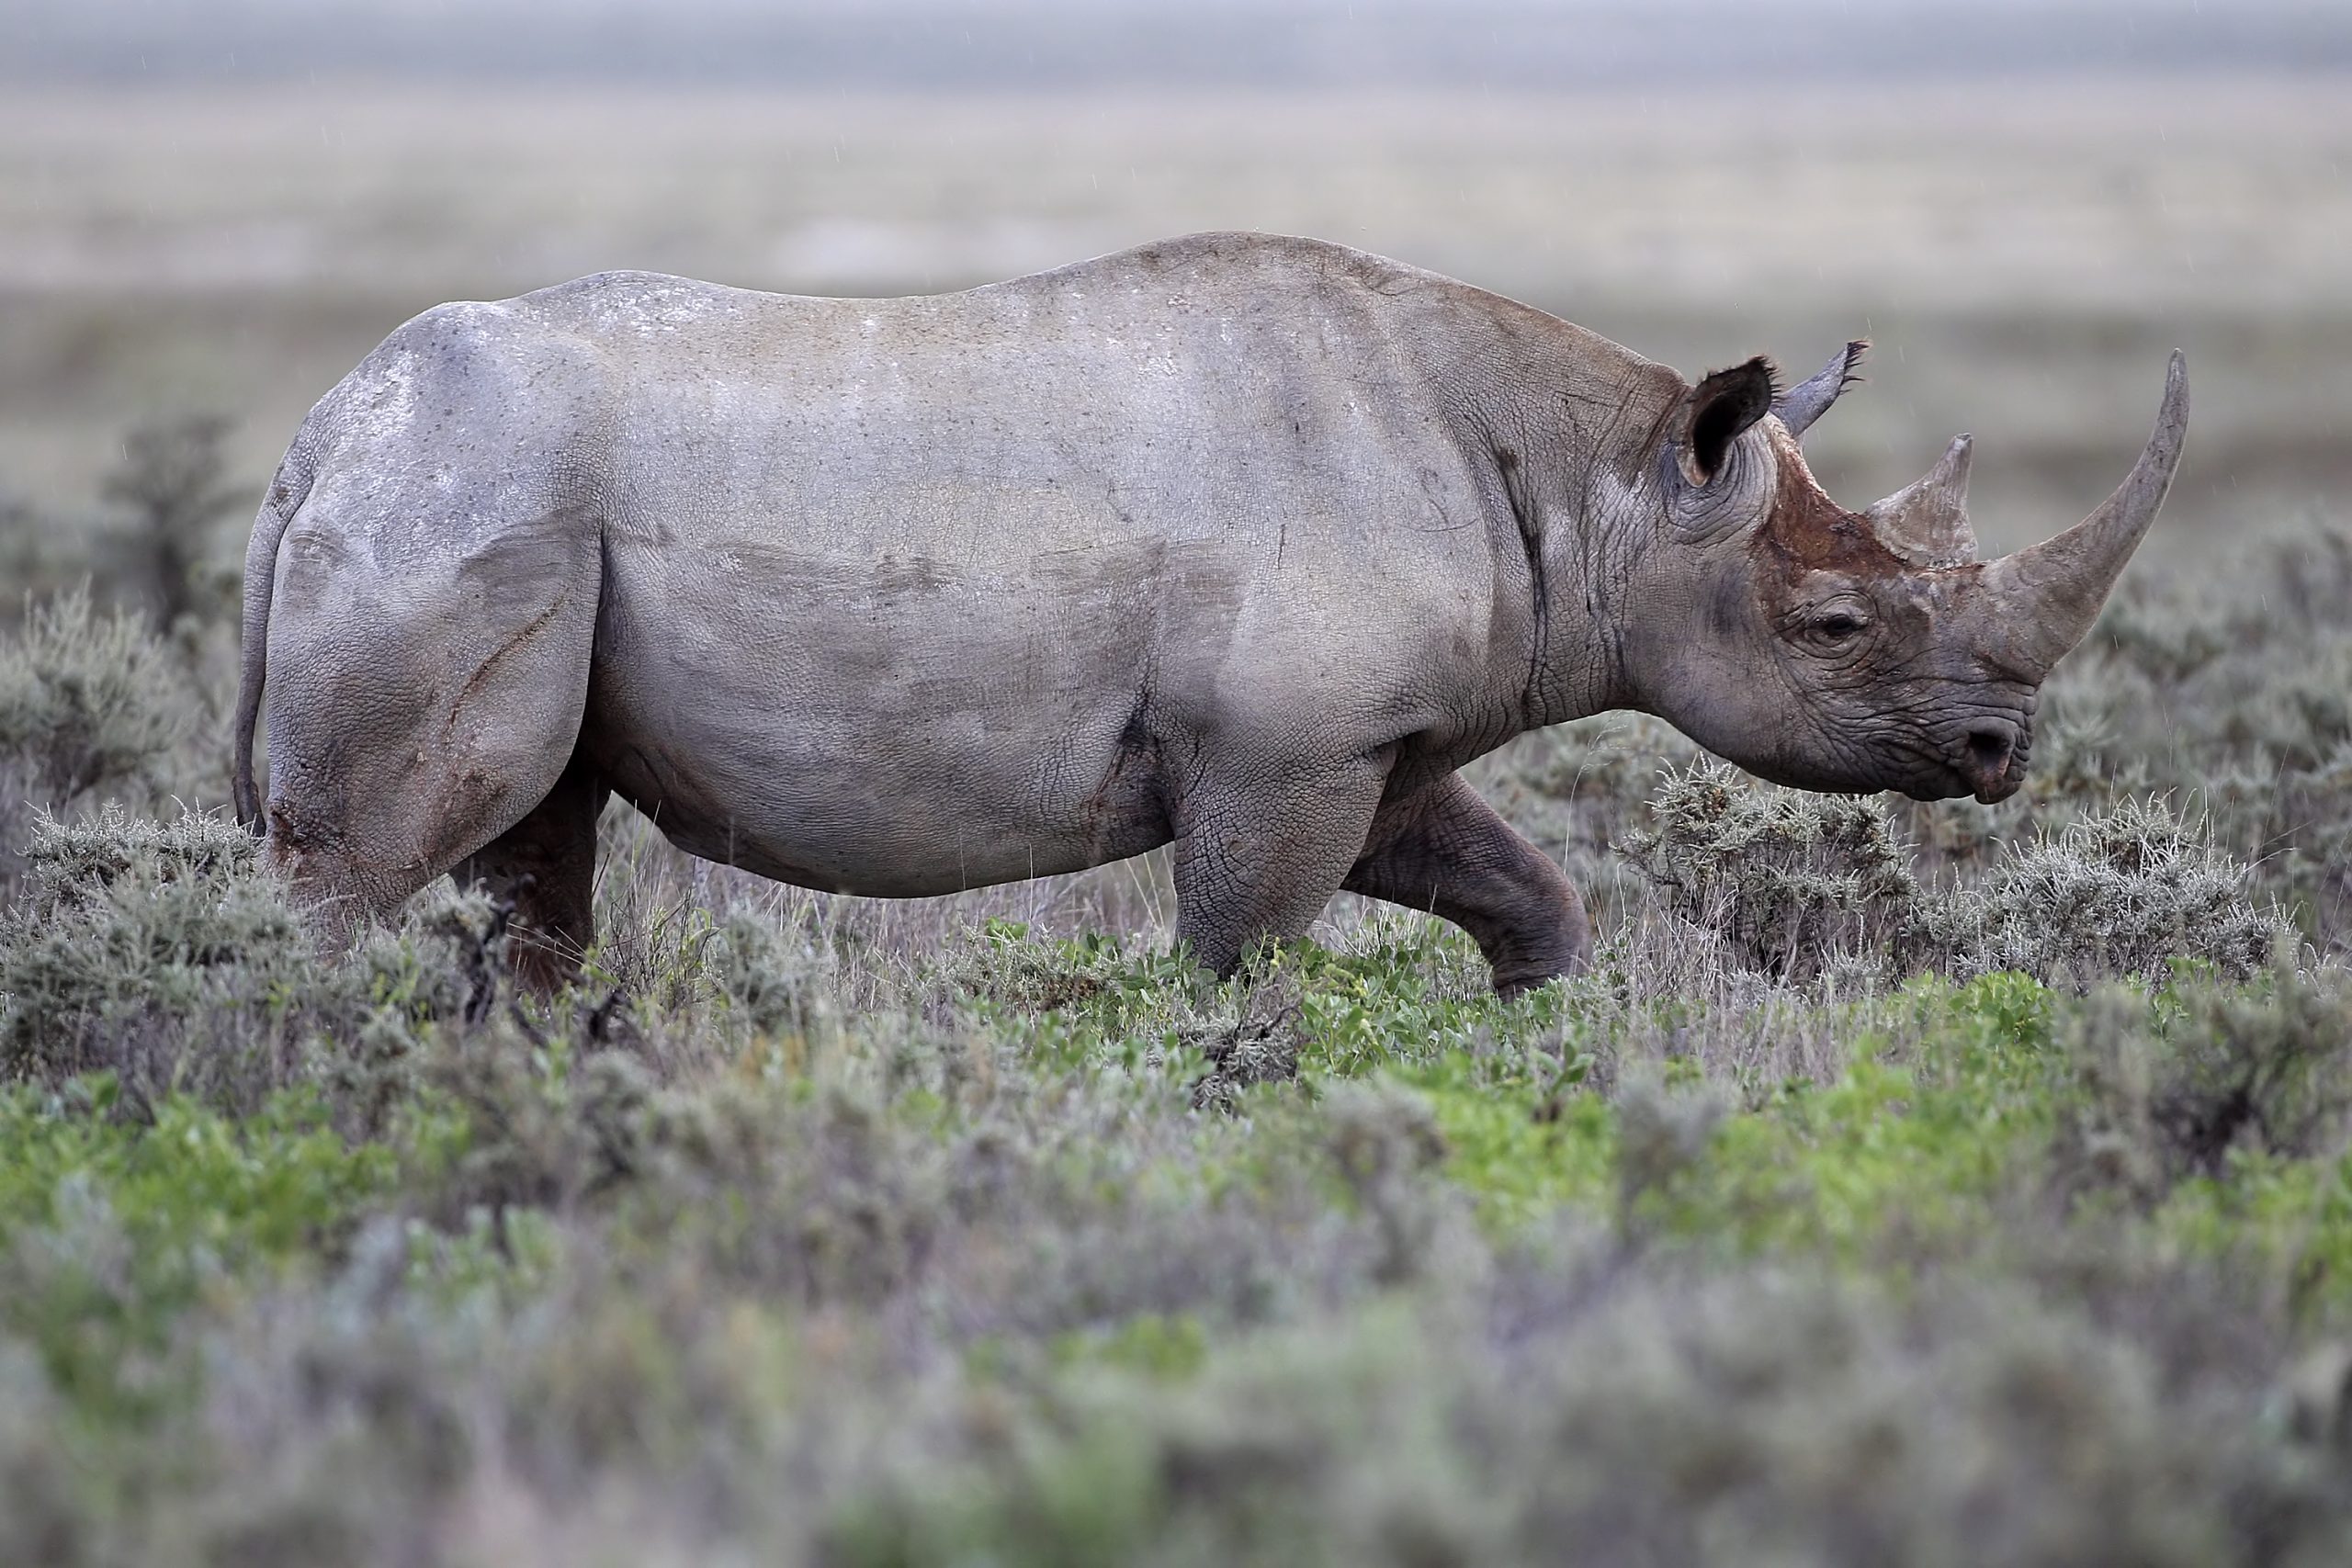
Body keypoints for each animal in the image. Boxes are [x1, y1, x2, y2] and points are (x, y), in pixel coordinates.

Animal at [230, 231, 2188, 994]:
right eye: (1837, 634)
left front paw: (1539, 1048)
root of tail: (316, 433)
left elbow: (1526, 893)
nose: (2002, 750)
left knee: (533, 860)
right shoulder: (1283, 749)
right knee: (383, 855)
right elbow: (1241, 964)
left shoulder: (1363, 740)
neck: (1607, 482)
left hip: (483, 497)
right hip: (461, 496)